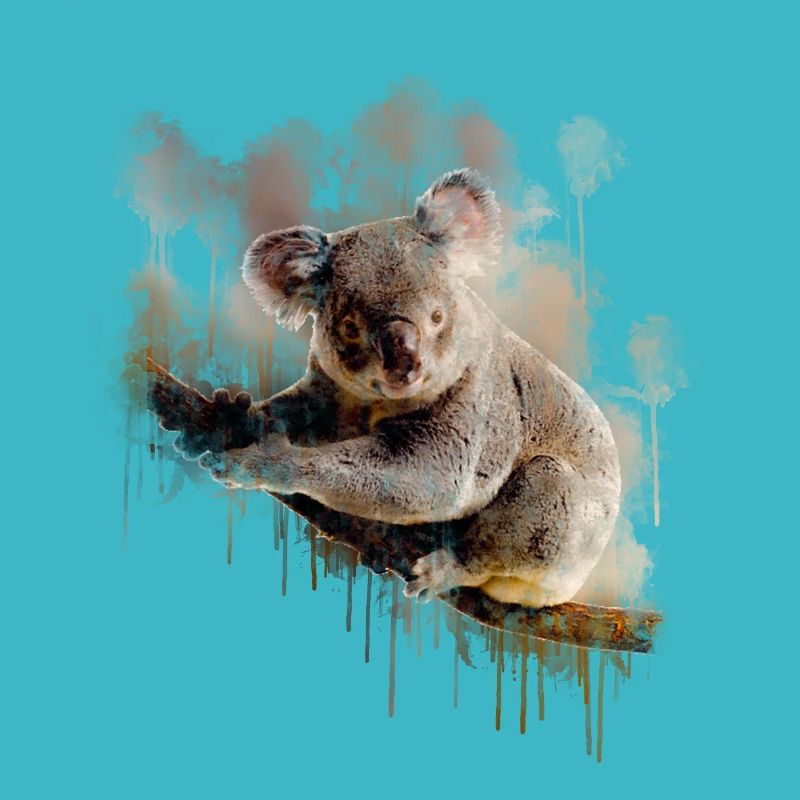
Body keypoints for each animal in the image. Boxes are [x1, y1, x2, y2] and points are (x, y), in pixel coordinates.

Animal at [171, 168, 621, 608]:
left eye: (437, 317)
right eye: (350, 328)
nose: (405, 364)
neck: (378, 402)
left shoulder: (474, 403)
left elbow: (429, 479)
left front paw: (263, 462)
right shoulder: (332, 392)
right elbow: (292, 413)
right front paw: (227, 418)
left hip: (556, 520)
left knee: (514, 525)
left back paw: (443, 568)